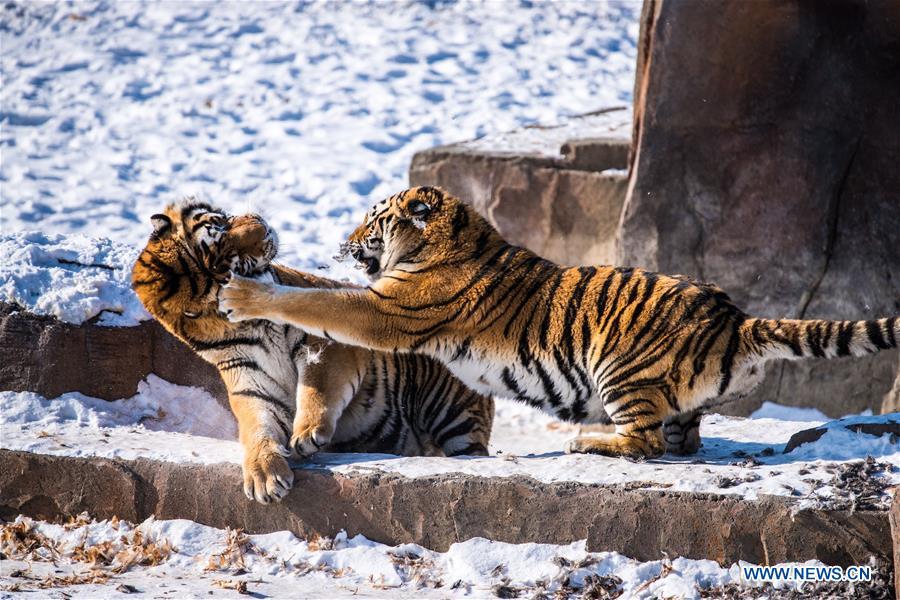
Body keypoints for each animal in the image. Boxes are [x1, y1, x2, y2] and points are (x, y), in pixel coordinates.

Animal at [131, 199, 493, 503]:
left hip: (453, 413)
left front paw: (306, 434)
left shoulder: (325, 343)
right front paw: (265, 477)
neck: (248, 325)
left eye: (220, 222)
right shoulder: (252, 386)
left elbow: (315, 388)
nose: (261, 224)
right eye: (230, 263)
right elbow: (257, 429)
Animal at [219, 186, 900, 460]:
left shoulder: (389, 309)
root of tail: (737, 319)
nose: (344, 239)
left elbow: (319, 304)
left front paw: (246, 294)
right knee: (683, 441)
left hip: (619, 367)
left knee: (646, 444)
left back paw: (585, 441)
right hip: (674, 399)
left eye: (372, 220)